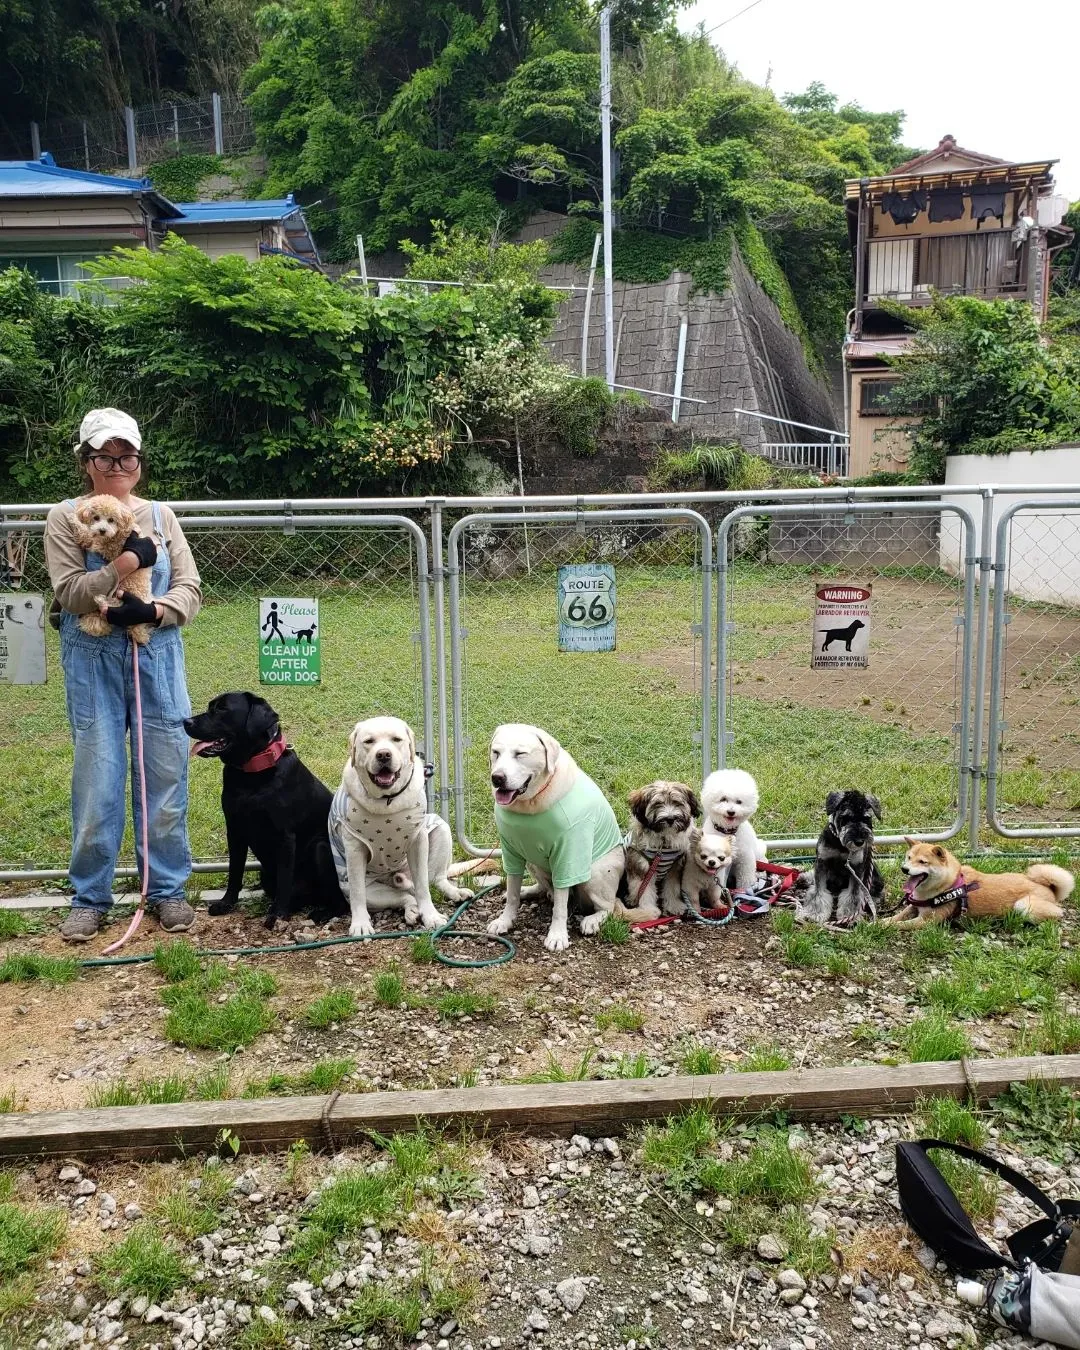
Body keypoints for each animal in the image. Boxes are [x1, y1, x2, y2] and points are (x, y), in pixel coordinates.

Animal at [71, 496, 155, 648]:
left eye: (111, 520)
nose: (102, 530)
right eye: (96, 517)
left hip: (123, 594)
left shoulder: (108, 547)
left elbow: (88, 536)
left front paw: (74, 519)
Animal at [615, 777, 702, 923]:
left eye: (677, 803)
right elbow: (644, 890)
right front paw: (648, 910)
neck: (663, 842)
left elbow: (672, 887)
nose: (670, 819)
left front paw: (674, 906)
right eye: (657, 804)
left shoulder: (674, 866)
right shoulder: (641, 866)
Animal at [885, 837, 1069, 934]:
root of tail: (1050, 889)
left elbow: (900, 924)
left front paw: (881, 926)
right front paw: (884, 920)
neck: (948, 885)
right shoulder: (914, 905)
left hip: (1023, 905)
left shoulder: (926, 921)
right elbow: (898, 916)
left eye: (922, 862)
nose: (904, 869)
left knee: (1055, 915)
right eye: (909, 857)